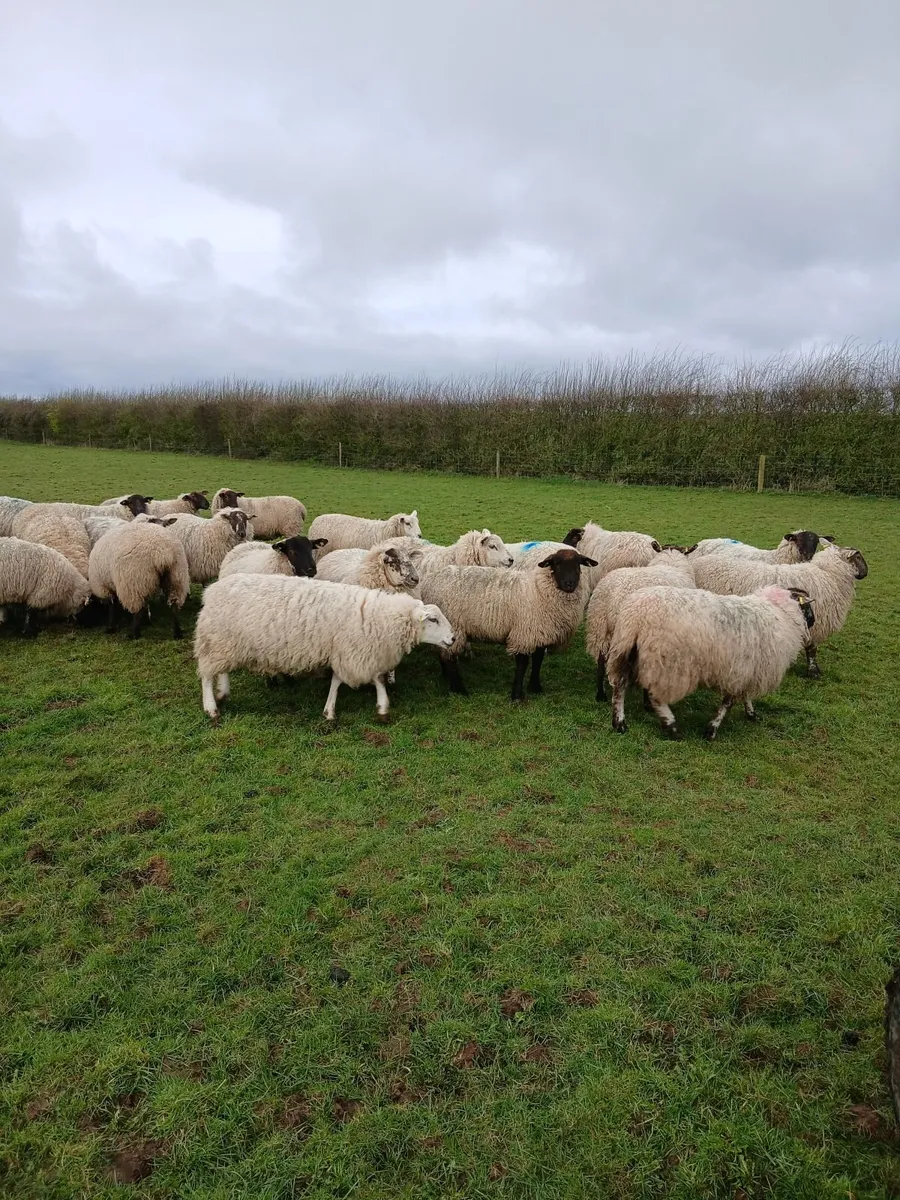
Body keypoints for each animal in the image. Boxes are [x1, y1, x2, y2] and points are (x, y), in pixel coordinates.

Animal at [193, 574, 454, 723]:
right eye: (433, 620)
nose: (452, 638)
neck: (376, 616)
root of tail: (211, 591)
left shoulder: (350, 652)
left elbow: (352, 680)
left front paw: (337, 710)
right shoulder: (353, 653)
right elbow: (365, 679)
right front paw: (378, 706)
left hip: (225, 644)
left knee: (221, 670)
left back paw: (223, 693)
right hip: (216, 641)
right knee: (206, 675)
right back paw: (211, 708)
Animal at [418, 548, 597, 700]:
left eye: (578, 564)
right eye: (556, 564)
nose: (570, 584)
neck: (538, 590)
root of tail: (429, 581)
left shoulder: (539, 632)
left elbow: (538, 661)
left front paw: (535, 687)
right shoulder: (524, 633)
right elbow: (522, 664)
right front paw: (517, 695)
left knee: (442, 652)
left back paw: (445, 677)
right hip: (455, 625)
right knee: (450, 659)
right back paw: (460, 690)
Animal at [607, 584, 816, 740]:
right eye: (808, 607)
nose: (813, 622)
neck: (779, 611)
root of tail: (638, 616)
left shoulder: (747, 668)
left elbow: (745, 695)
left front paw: (751, 713)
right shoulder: (740, 670)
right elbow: (728, 703)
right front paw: (712, 729)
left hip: (626, 650)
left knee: (620, 687)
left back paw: (619, 723)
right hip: (668, 662)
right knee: (655, 696)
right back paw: (671, 726)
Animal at [691, 544, 868, 678]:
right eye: (858, 557)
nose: (866, 573)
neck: (828, 575)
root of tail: (696, 562)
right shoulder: (814, 623)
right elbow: (812, 649)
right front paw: (814, 671)